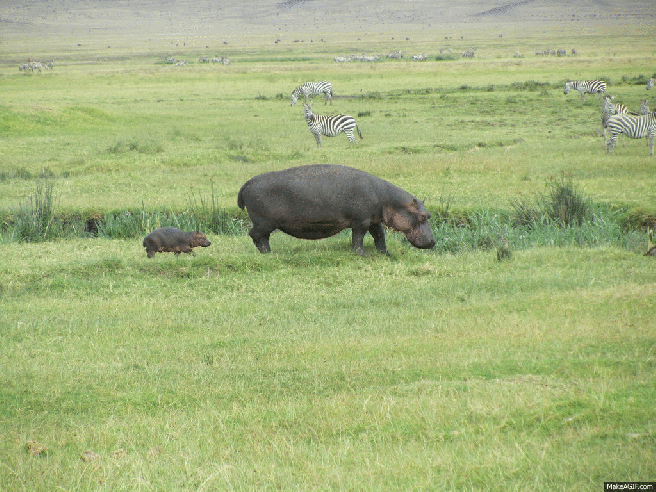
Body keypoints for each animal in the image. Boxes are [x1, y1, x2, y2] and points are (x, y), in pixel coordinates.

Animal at [237, 164, 436, 255]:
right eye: (422, 216)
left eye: (429, 215)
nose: (433, 242)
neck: (389, 200)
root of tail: (247, 183)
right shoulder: (361, 221)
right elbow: (358, 238)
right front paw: (362, 253)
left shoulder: (374, 219)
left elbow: (380, 236)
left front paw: (385, 253)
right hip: (264, 222)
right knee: (256, 235)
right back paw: (268, 253)